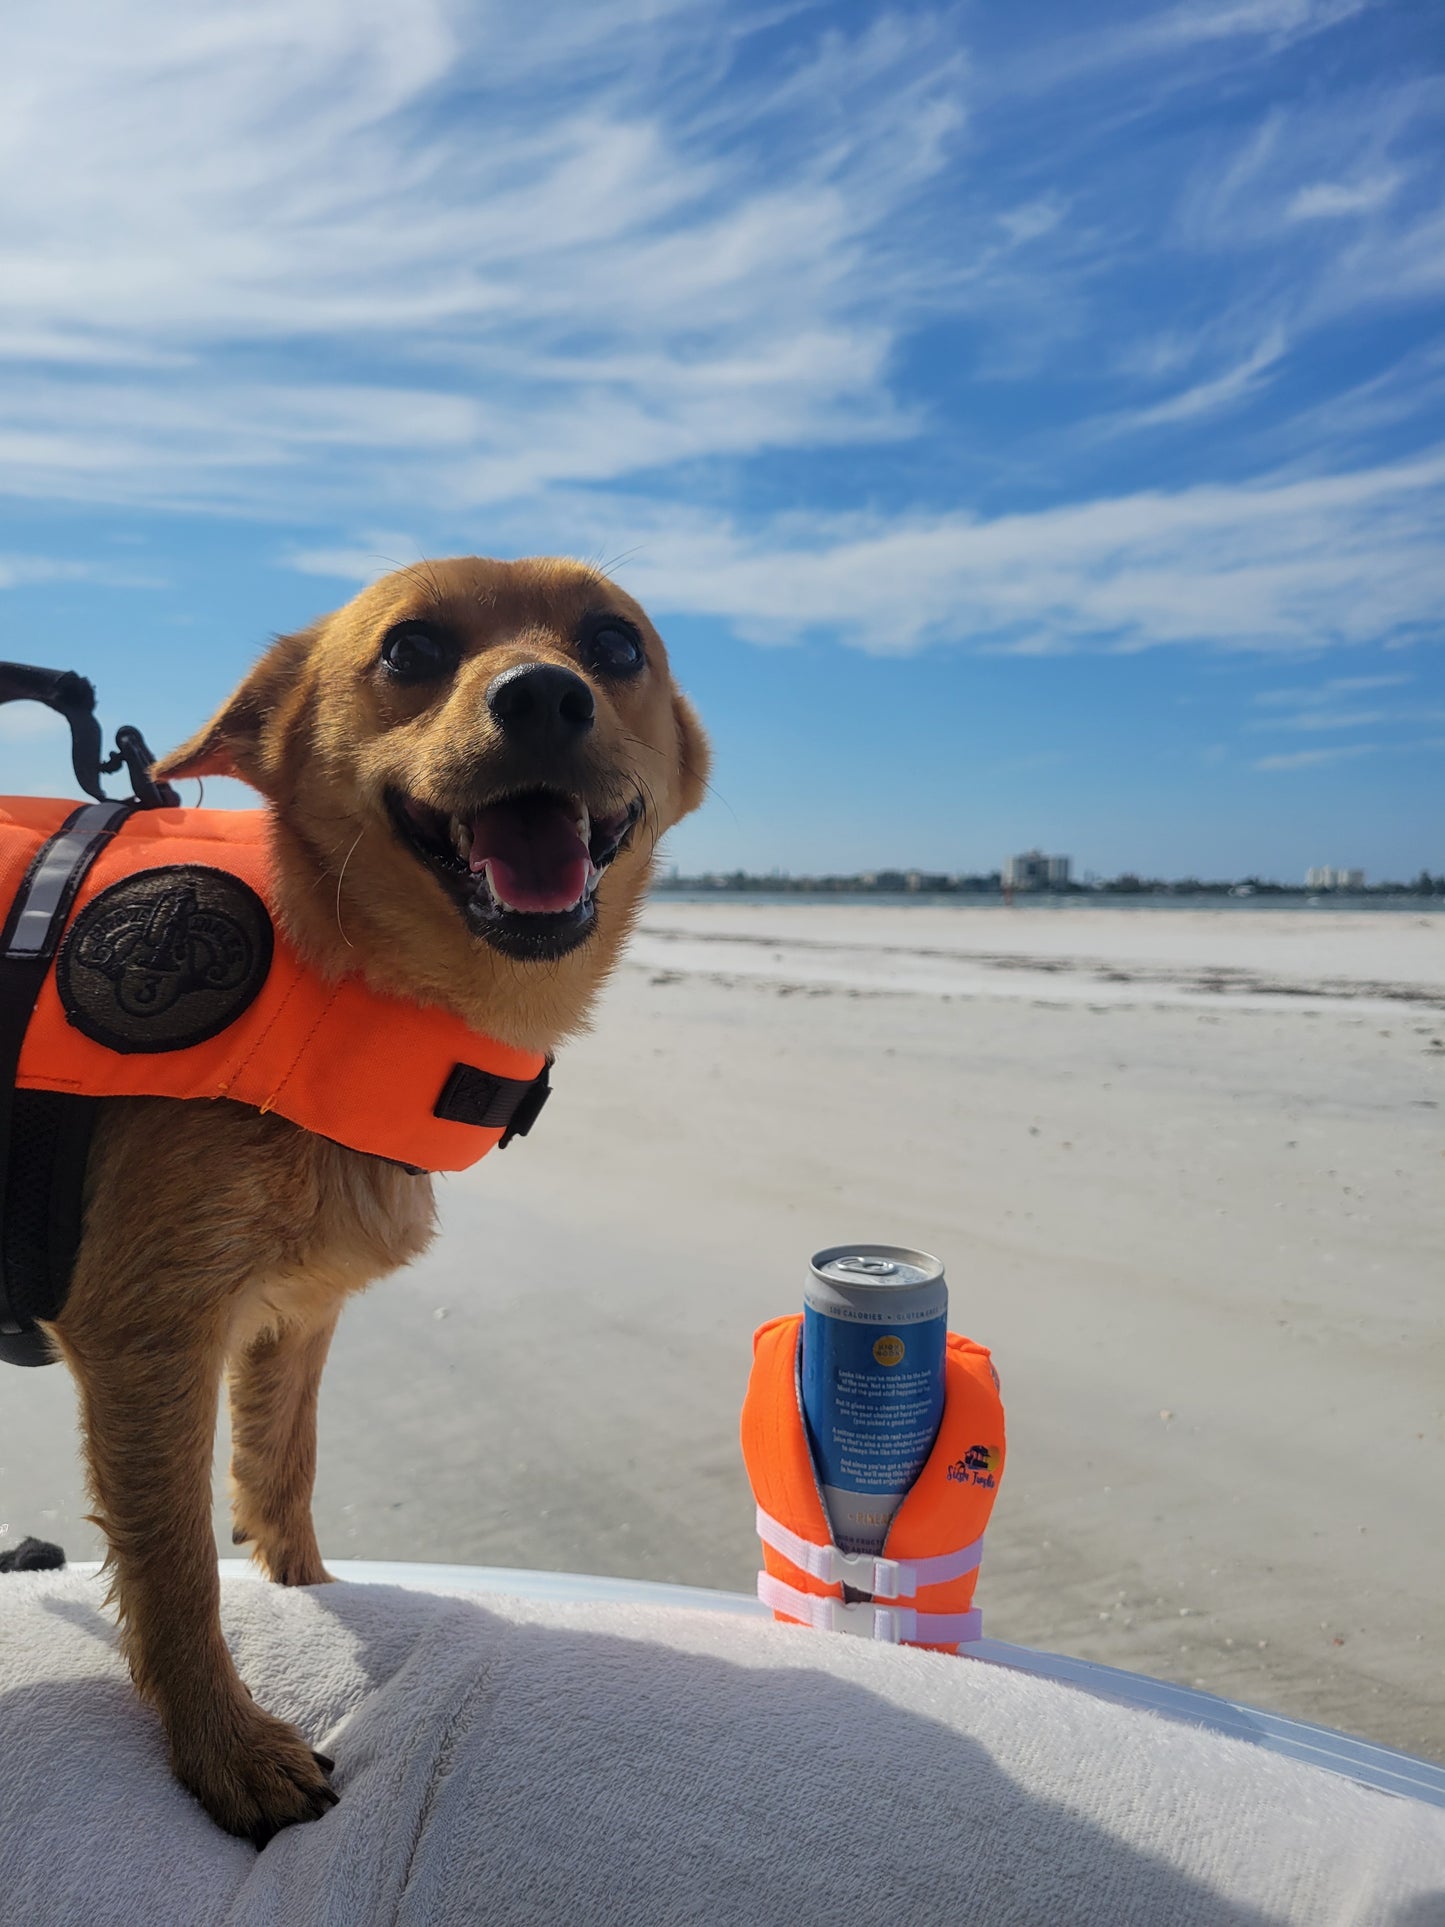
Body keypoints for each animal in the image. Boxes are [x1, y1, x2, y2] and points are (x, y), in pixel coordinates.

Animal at [39, 554, 709, 1834]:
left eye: (615, 645)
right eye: (408, 651)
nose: (543, 695)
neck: (345, 977)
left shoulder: (294, 1318)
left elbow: (278, 1482)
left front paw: (308, 1594)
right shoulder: (148, 1333)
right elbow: (175, 1564)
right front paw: (225, 1746)